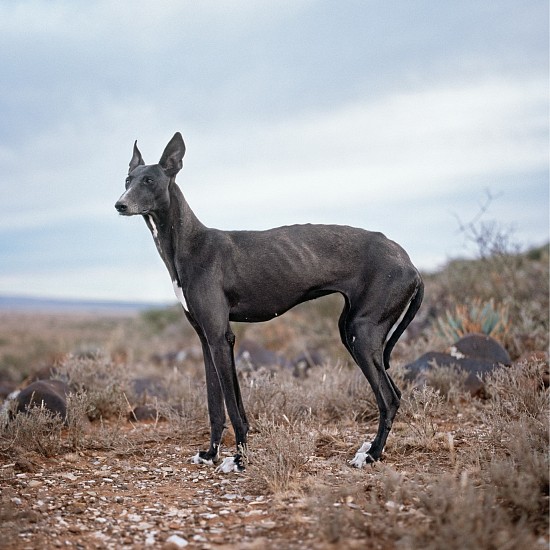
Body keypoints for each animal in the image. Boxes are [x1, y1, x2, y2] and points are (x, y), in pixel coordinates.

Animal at [116, 134, 424, 474]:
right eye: (128, 179)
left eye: (149, 180)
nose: (120, 204)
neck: (190, 245)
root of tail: (409, 263)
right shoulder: (206, 338)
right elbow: (215, 405)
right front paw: (210, 454)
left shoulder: (221, 337)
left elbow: (234, 408)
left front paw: (239, 460)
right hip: (351, 330)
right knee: (393, 393)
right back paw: (370, 449)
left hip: (362, 334)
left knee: (389, 398)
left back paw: (372, 454)